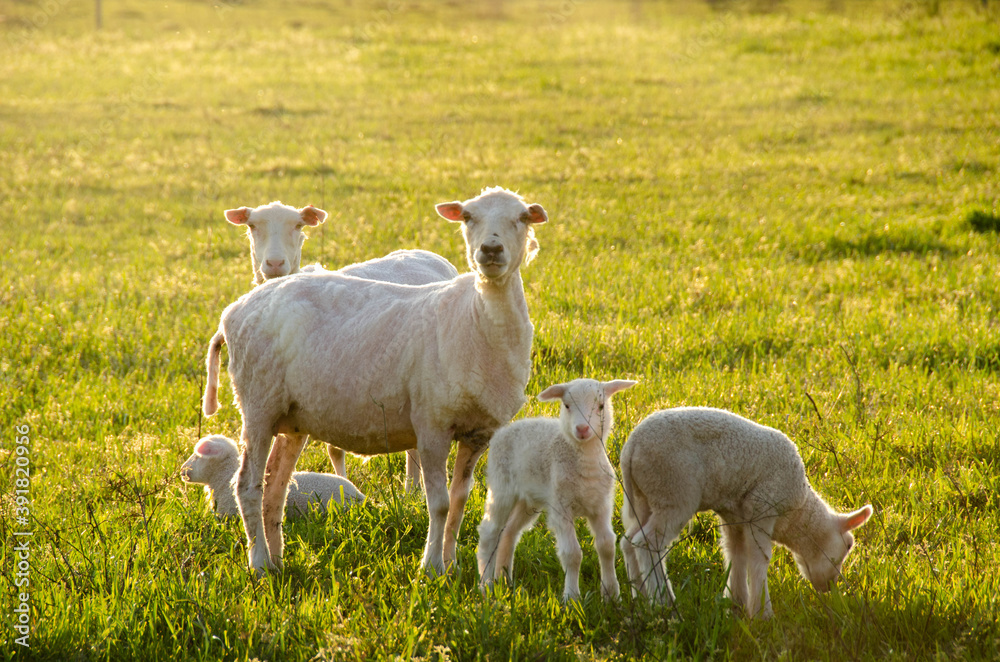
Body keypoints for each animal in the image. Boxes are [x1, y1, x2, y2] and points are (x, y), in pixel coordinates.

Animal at [225, 200, 460, 492]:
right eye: (252, 226)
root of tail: (426, 253)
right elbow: (327, 448)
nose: (275, 263)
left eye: (298, 226)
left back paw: (411, 488)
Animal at [477, 378, 637, 602]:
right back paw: (487, 585)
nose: (582, 429)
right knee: (489, 532)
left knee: (509, 531)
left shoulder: (601, 505)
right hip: (502, 485)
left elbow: (606, 546)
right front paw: (572, 598)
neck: (585, 460)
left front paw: (612, 595)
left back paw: (505, 579)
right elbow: (572, 554)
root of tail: (505, 429)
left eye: (601, 406)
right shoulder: (561, 507)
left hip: (529, 499)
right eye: (567, 405)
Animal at [618, 407, 874, 619]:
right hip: (673, 490)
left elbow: (736, 554)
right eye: (849, 546)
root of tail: (631, 446)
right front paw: (762, 613)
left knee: (628, 541)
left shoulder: (735, 517)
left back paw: (640, 599)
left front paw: (737, 604)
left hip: (645, 497)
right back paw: (662, 602)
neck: (797, 513)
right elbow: (760, 558)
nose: (828, 588)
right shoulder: (762, 508)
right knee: (647, 543)